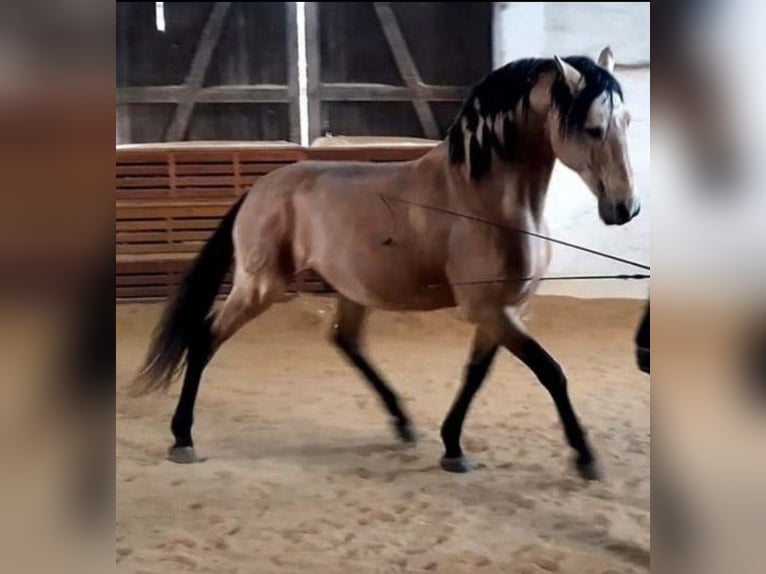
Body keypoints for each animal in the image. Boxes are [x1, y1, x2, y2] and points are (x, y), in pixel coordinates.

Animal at [134, 48, 640, 482]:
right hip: (260, 286)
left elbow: (475, 375)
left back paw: (402, 423)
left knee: (346, 341)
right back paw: (182, 438)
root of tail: (259, 191)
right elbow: (551, 372)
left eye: (627, 121)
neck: (483, 198)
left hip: (351, 290)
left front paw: (452, 447)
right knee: (205, 338)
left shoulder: (503, 310)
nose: (625, 209)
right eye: (593, 127)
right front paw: (585, 457)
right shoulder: (490, 310)